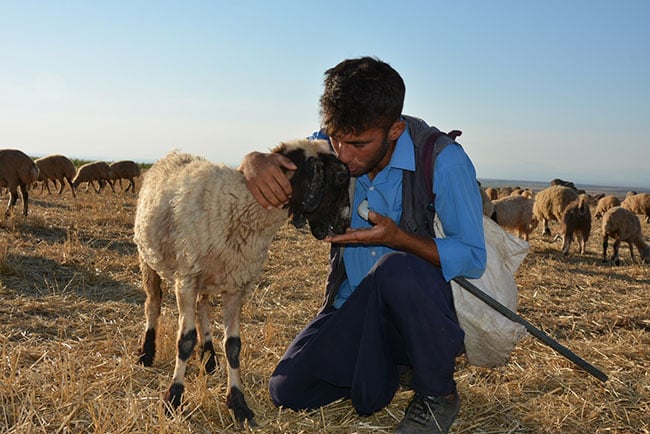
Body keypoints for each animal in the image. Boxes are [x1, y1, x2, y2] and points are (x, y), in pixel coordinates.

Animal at [132, 140, 352, 428]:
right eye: (340, 177)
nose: (345, 224)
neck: (243, 205)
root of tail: (171, 156)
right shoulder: (187, 280)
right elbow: (185, 340)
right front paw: (173, 398)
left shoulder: (236, 285)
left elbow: (233, 346)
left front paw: (238, 403)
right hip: (148, 258)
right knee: (153, 304)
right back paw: (146, 353)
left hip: (207, 277)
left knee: (202, 308)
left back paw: (209, 356)